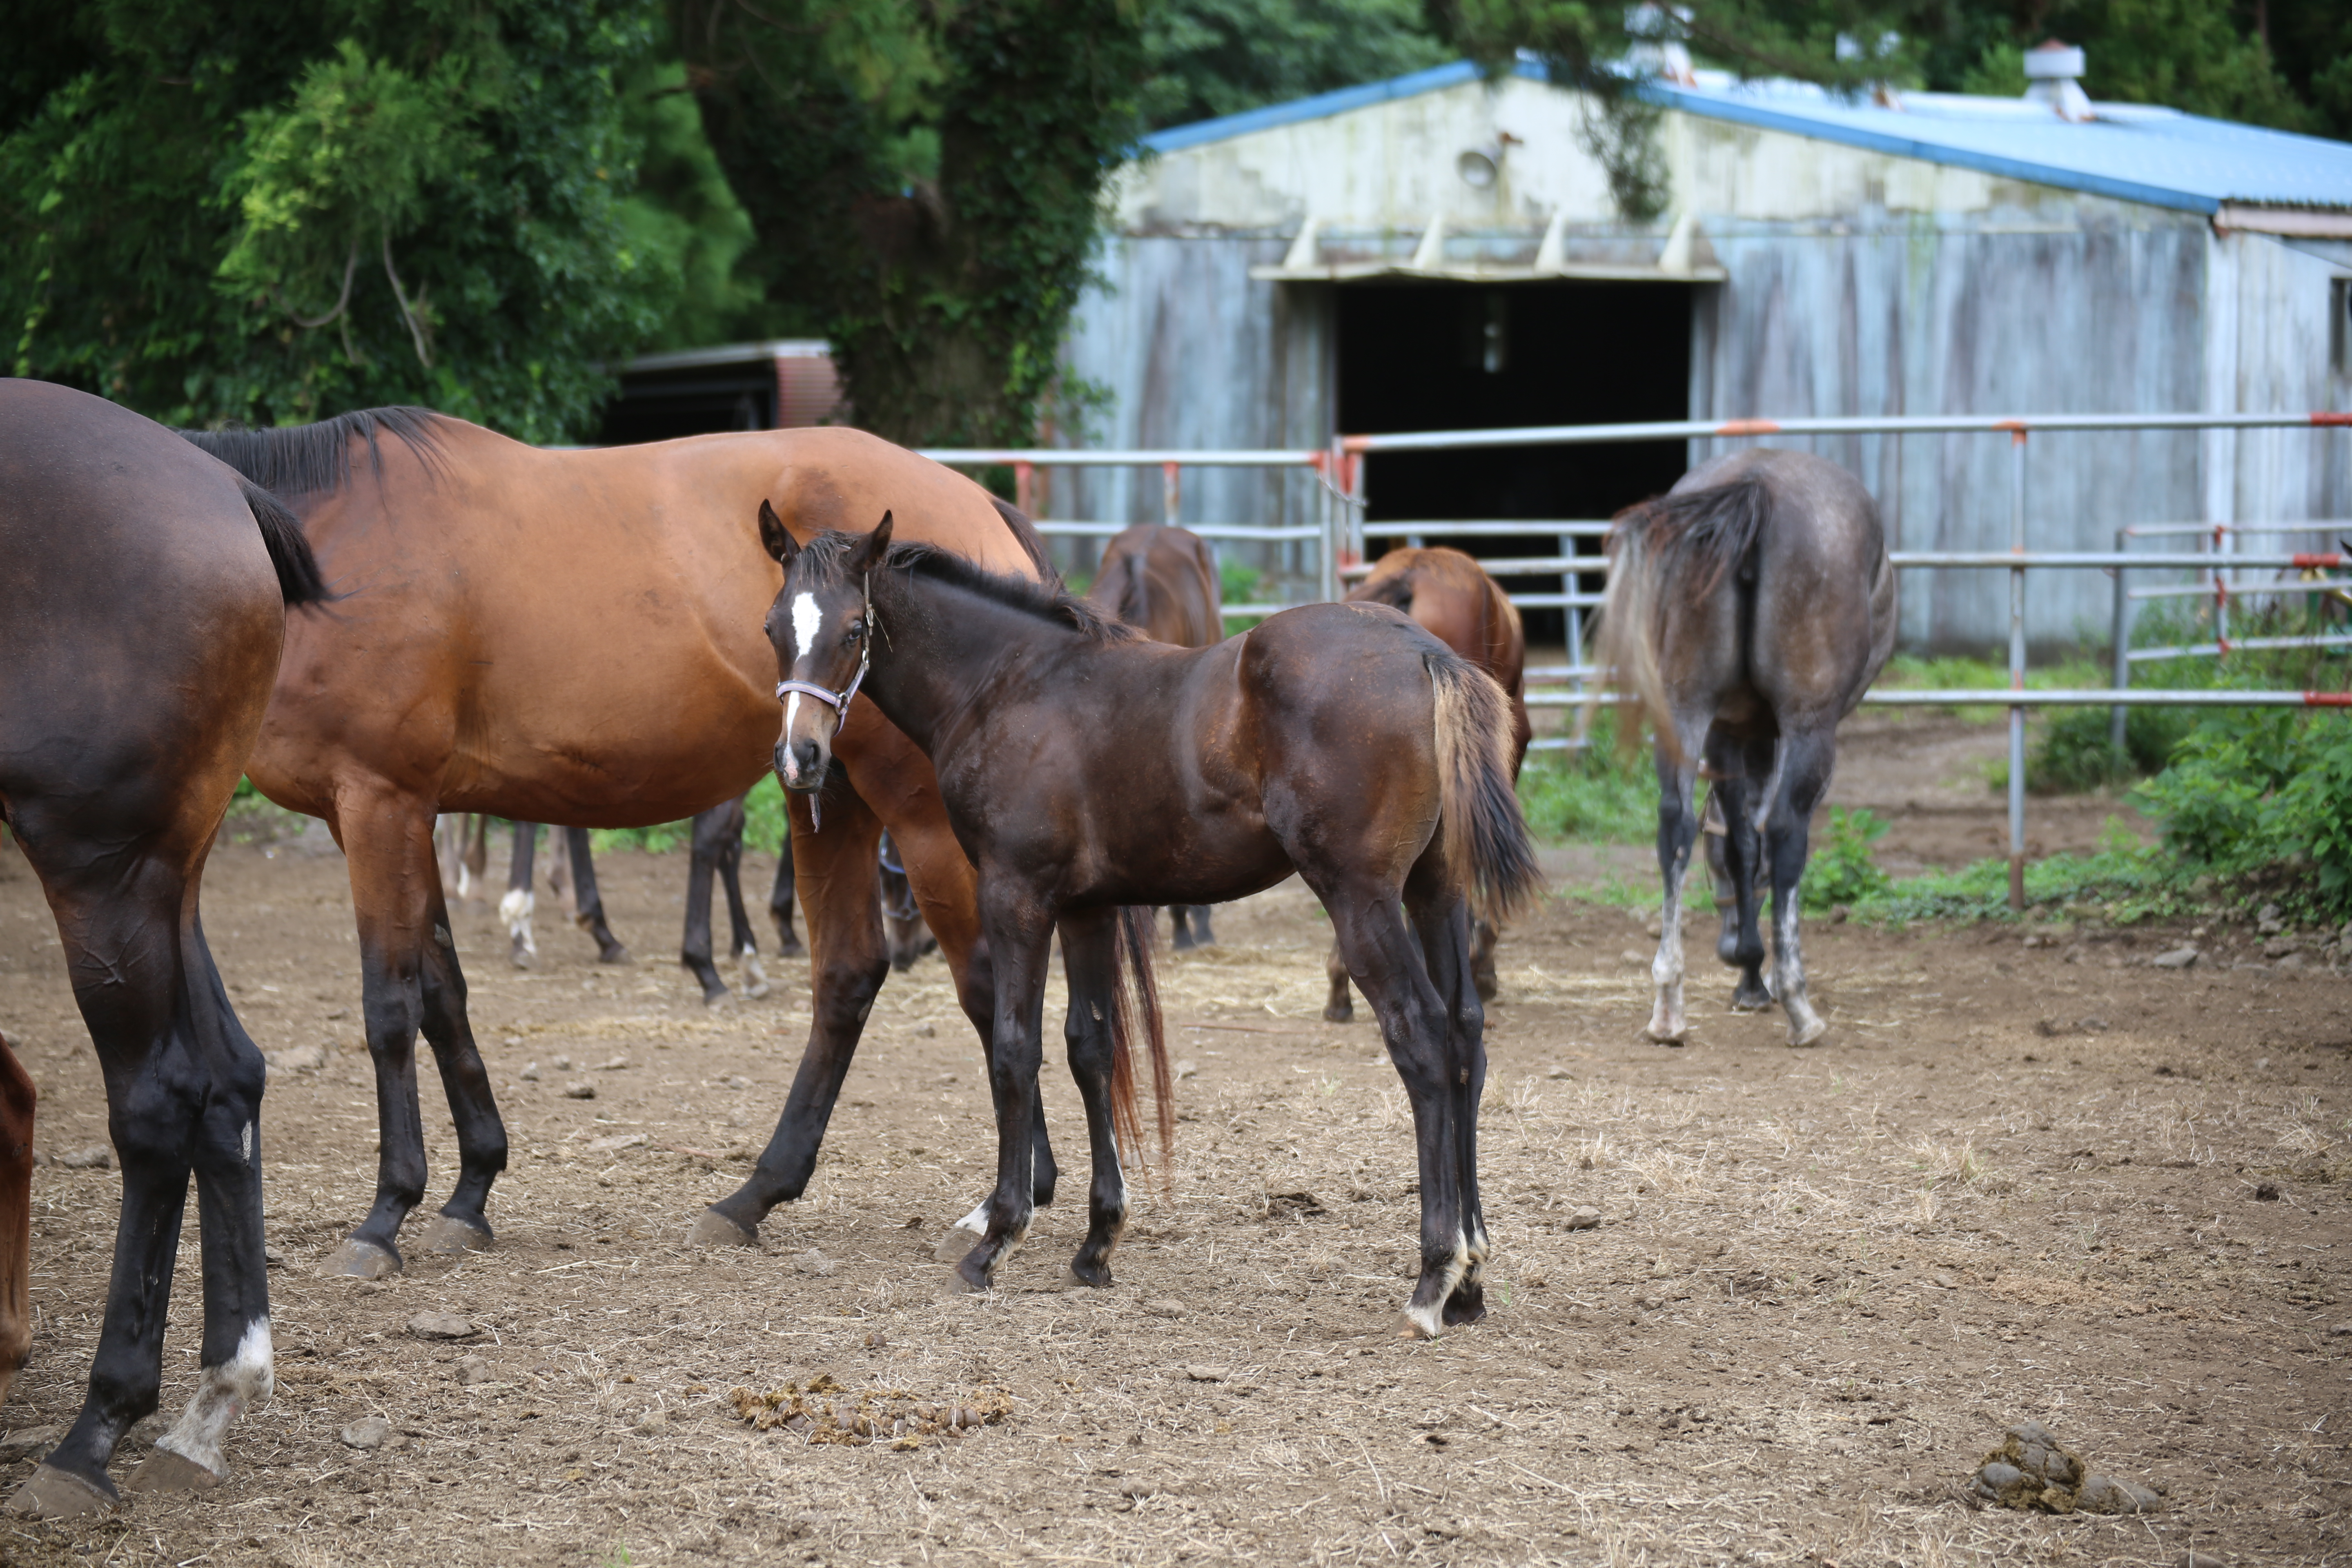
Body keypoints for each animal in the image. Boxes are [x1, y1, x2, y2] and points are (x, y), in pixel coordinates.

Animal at [0, 374, 336, 1514]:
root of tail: (218, 486)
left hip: (102, 871)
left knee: (158, 1105)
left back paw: (95, 1429)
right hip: (165, 878)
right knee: (228, 1077)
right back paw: (214, 1396)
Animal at [176, 414, 1077, 1278]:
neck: (325, 548)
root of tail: (977, 500)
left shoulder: (376, 803)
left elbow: (391, 1007)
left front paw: (386, 1214)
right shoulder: (399, 813)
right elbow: (443, 993)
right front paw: (471, 1192)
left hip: (919, 816)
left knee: (989, 986)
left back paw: (1005, 1202)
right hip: (830, 789)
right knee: (850, 975)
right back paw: (757, 1195)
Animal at [1590, 446, 1900, 1048]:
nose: (1729, 943)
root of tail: (1755, 485)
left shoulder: (1728, 733)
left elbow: (1736, 843)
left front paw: (1750, 973)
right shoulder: (1778, 735)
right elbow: (1764, 846)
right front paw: (1766, 977)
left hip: (1685, 710)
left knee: (1675, 825)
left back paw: (1668, 1006)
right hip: (1808, 727)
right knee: (1784, 831)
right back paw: (1800, 1007)